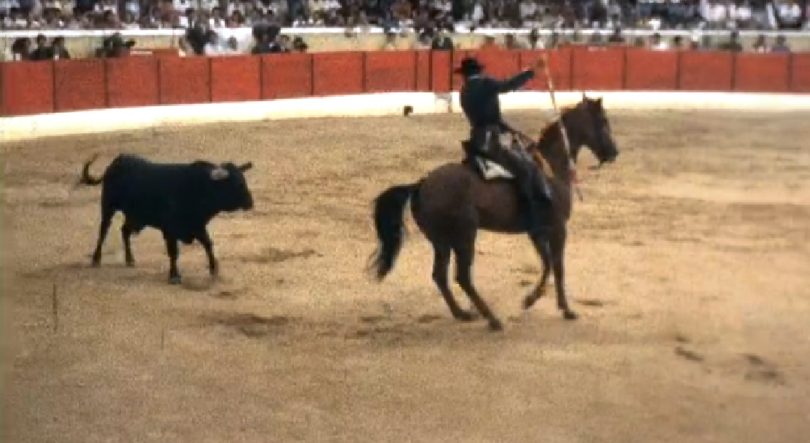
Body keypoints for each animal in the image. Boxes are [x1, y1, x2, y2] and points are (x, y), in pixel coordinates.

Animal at [78, 153, 256, 284]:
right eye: (235, 183)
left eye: (244, 180)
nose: (250, 203)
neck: (199, 187)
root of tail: (117, 161)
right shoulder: (170, 230)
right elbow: (174, 252)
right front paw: (174, 276)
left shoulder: (197, 225)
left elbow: (208, 244)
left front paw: (214, 269)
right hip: (108, 207)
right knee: (103, 230)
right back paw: (96, 259)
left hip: (135, 217)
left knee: (125, 231)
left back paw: (130, 260)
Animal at [368, 97, 620, 332]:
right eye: (603, 120)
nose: (614, 152)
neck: (552, 169)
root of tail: (420, 185)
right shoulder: (558, 229)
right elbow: (558, 266)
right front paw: (566, 309)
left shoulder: (536, 231)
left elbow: (547, 263)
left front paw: (530, 299)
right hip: (465, 236)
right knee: (462, 276)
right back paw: (492, 319)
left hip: (441, 241)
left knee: (440, 275)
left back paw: (462, 313)